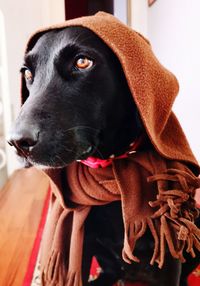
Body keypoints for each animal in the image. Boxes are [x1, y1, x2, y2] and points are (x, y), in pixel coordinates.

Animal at [8, 26, 199, 286]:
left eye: (82, 62)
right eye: (27, 73)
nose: (17, 142)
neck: (110, 170)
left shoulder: (168, 257)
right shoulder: (82, 244)